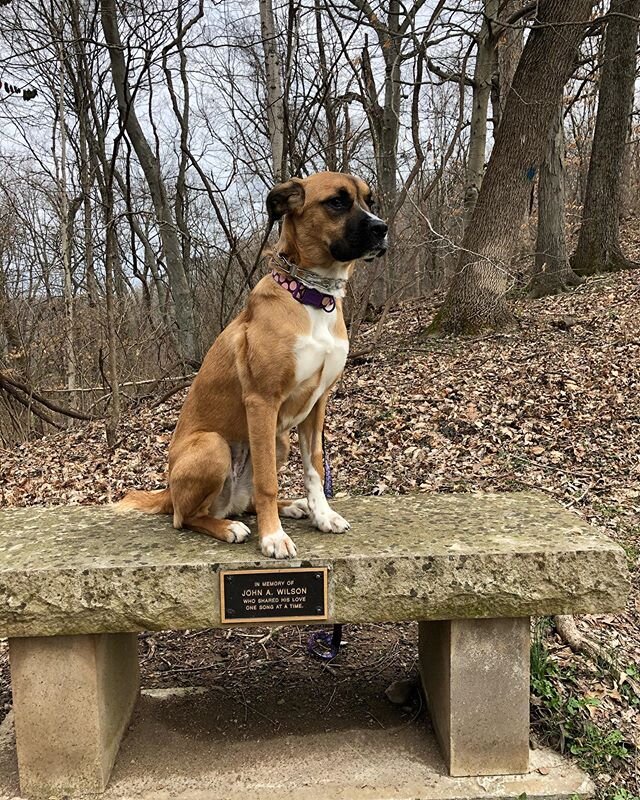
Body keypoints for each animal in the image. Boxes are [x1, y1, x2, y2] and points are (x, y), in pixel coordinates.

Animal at [119, 170, 390, 556]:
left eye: (370, 200)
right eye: (337, 202)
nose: (382, 228)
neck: (311, 296)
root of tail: (168, 493)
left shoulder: (317, 406)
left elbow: (315, 468)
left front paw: (322, 515)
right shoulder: (262, 403)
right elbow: (267, 483)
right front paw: (273, 537)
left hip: (280, 441)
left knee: (243, 503)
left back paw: (294, 506)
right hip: (214, 446)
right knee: (186, 518)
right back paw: (229, 527)